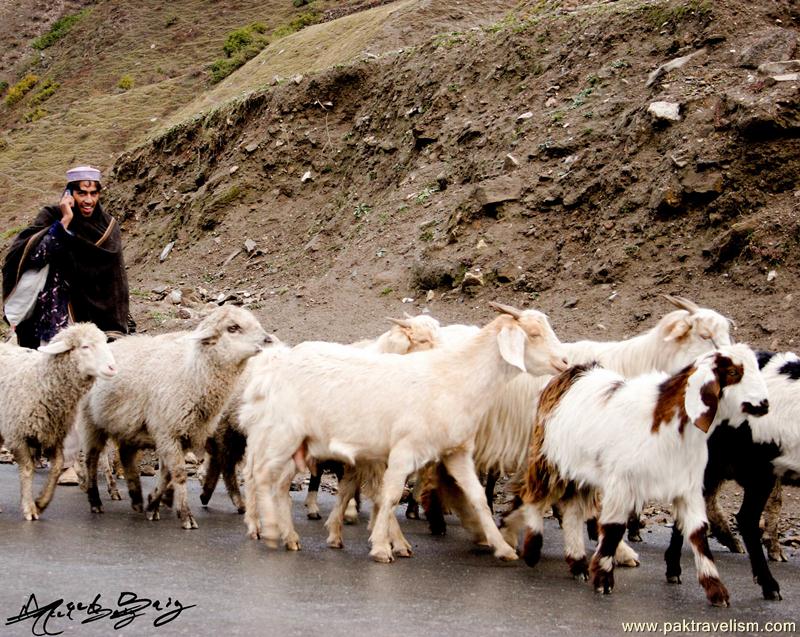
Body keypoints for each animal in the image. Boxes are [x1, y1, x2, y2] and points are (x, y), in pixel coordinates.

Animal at [0, 326, 116, 520]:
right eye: (85, 346)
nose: (113, 368)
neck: (40, 382)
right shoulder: (17, 435)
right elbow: (27, 469)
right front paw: (29, 507)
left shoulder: (53, 434)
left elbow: (57, 466)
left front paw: (42, 502)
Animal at [79, 304, 270, 528]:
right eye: (233, 328)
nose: (268, 340)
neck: (192, 374)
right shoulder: (167, 431)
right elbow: (178, 474)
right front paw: (186, 515)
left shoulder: (182, 433)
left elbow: (167, 474)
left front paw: (153, 503)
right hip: (91, 421)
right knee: (91, 459)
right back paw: (95, 500)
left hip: (128, 427)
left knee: (125, 455)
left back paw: (136, 498)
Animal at [239, 304, 568, 560]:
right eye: (534, 334)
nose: (564, 361)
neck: (454, 378)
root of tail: (272, 368)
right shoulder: (403, 449)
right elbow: (390, 495)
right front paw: (382, 547)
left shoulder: (457, 451)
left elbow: (477, 497)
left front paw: (502, 547)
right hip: (282, 434)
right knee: (262, 475)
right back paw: (269, 530)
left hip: (302, 444)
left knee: (280, 483)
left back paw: (290, 536)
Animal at [500, 342, 768, 608]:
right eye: (733, 373)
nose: (765, 404)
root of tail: (573, 372)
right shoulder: (622, 481)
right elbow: (613, 528)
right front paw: (604, 579)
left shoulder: (687, 486)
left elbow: (698, 533)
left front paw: (716, 590)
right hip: (550, 458)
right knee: (534, 494)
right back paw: (533, 549)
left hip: (583, 470)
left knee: (573, 512)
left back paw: (577, 563)